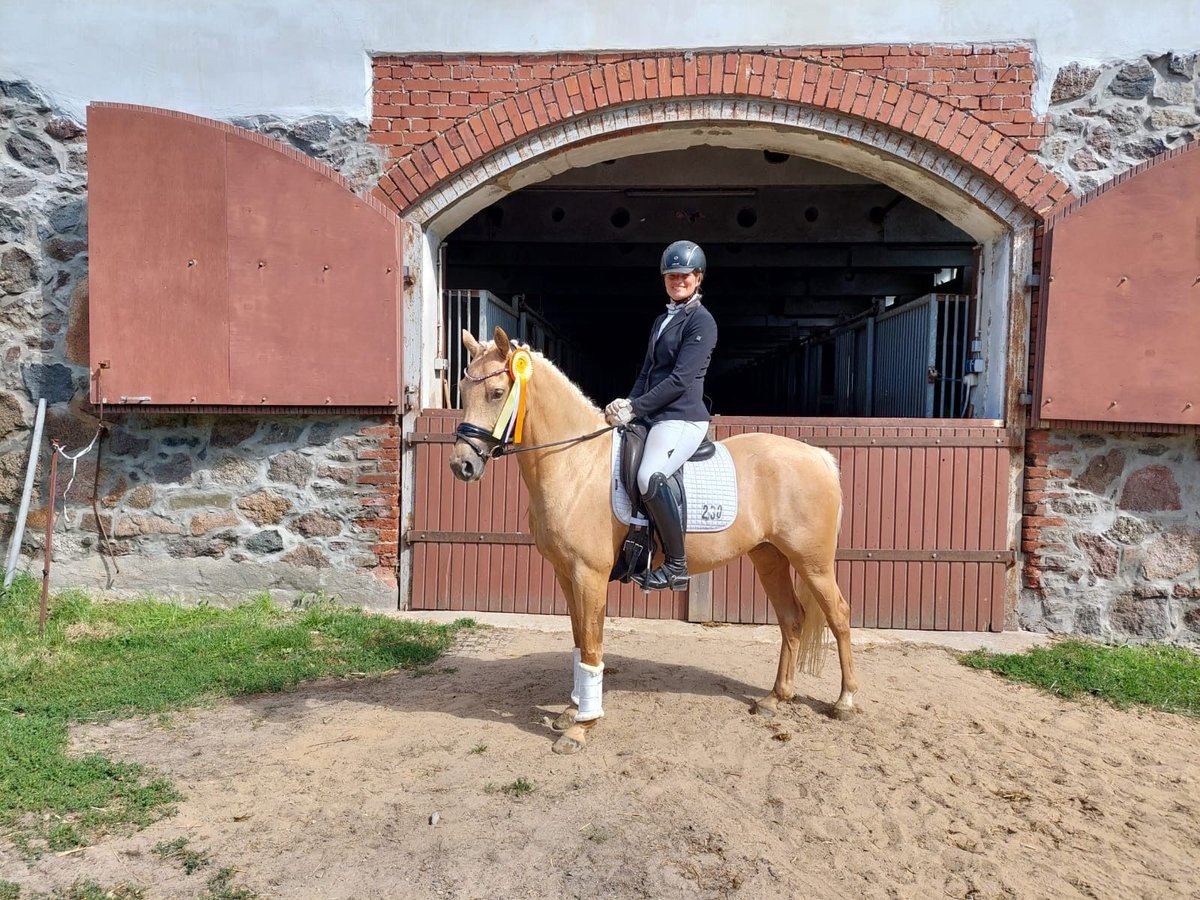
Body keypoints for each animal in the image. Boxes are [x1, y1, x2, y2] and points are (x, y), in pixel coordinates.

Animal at [448, 328, 854, 758]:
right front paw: (571, 711)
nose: (462, 466)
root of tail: (819, 456)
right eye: (462, 390)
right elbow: (578, 641)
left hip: (812, 563)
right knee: (791, 619)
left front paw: (581, 727)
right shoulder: (566, 574)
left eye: (496, 393)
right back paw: (776, 697)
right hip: (770, 558)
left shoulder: (589, 576)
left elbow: (591, 646)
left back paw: (845, 702)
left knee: (839, 616)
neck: (577, 464)